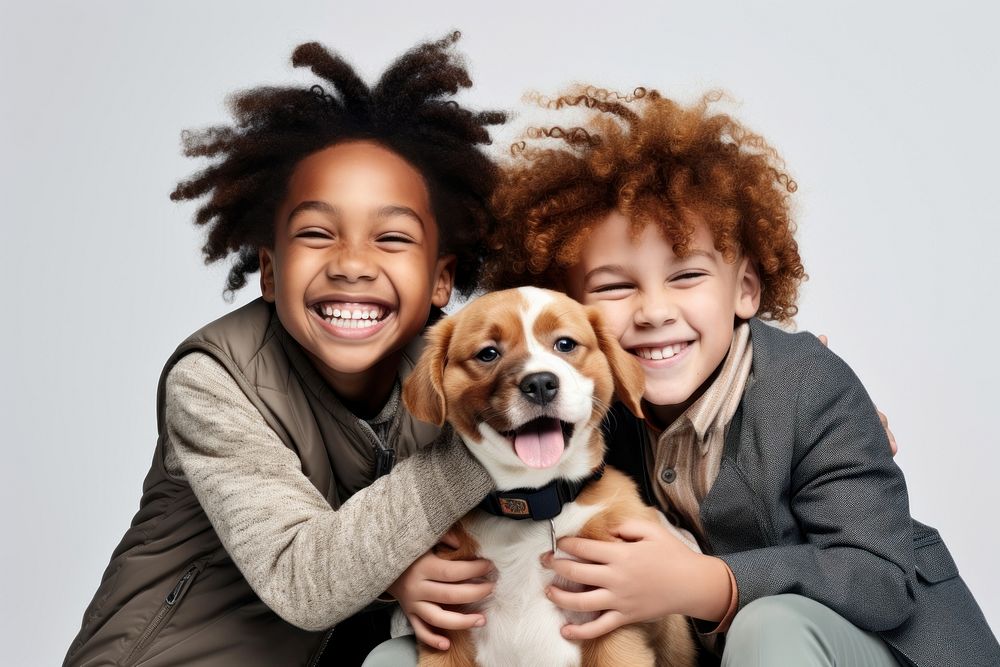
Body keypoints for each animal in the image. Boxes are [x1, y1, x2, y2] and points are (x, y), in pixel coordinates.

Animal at [398, 288, 696, 667]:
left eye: (565, 344)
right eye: (488, 353)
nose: (540, 383)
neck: (534, 503)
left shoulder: (615, 630)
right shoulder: (447, 635)